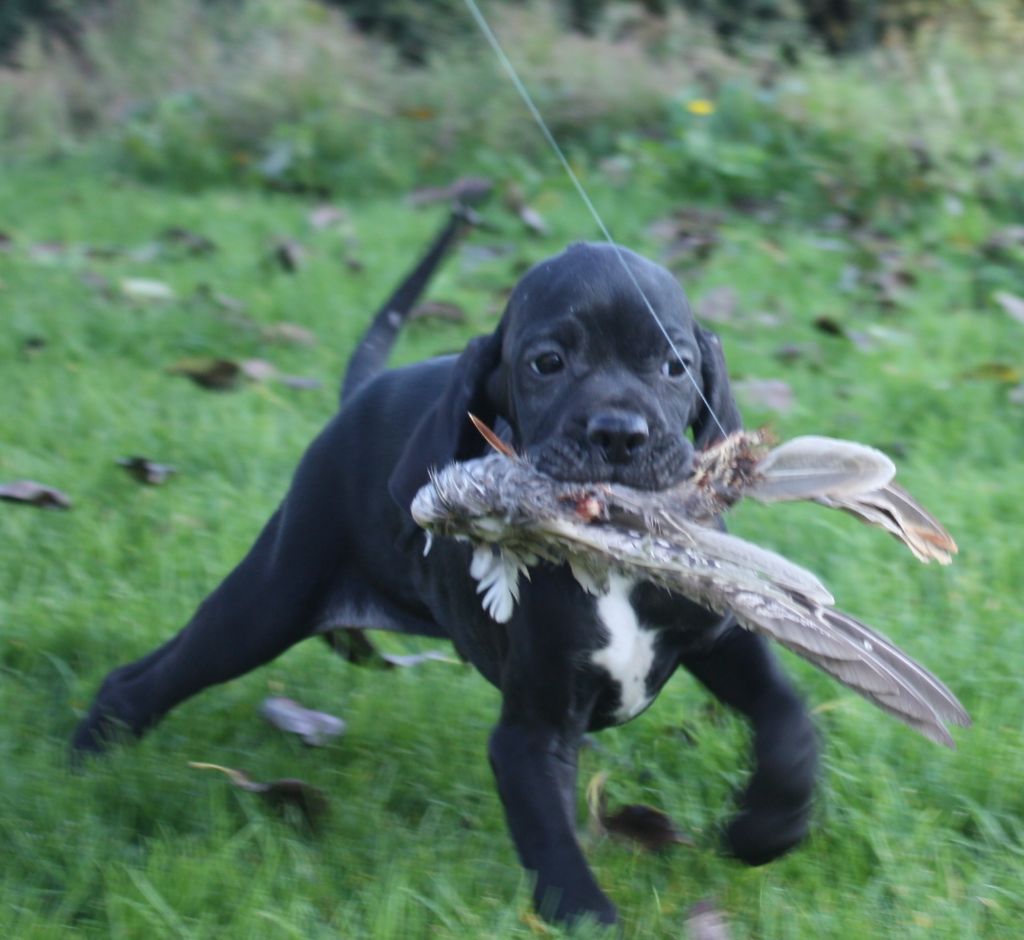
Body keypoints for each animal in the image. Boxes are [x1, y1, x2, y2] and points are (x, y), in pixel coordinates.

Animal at [74, 212, 815, 925]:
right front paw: (592, 914)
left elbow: (789, 717)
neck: (612, 557)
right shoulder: (530, 735)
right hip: (272, 599)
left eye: (674, 367)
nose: (619, 435)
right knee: (156, 672)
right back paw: (89, 754)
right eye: (548, 362)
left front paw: (766, 830)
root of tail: (365, 391)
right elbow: (555, 848)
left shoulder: (718, 637)